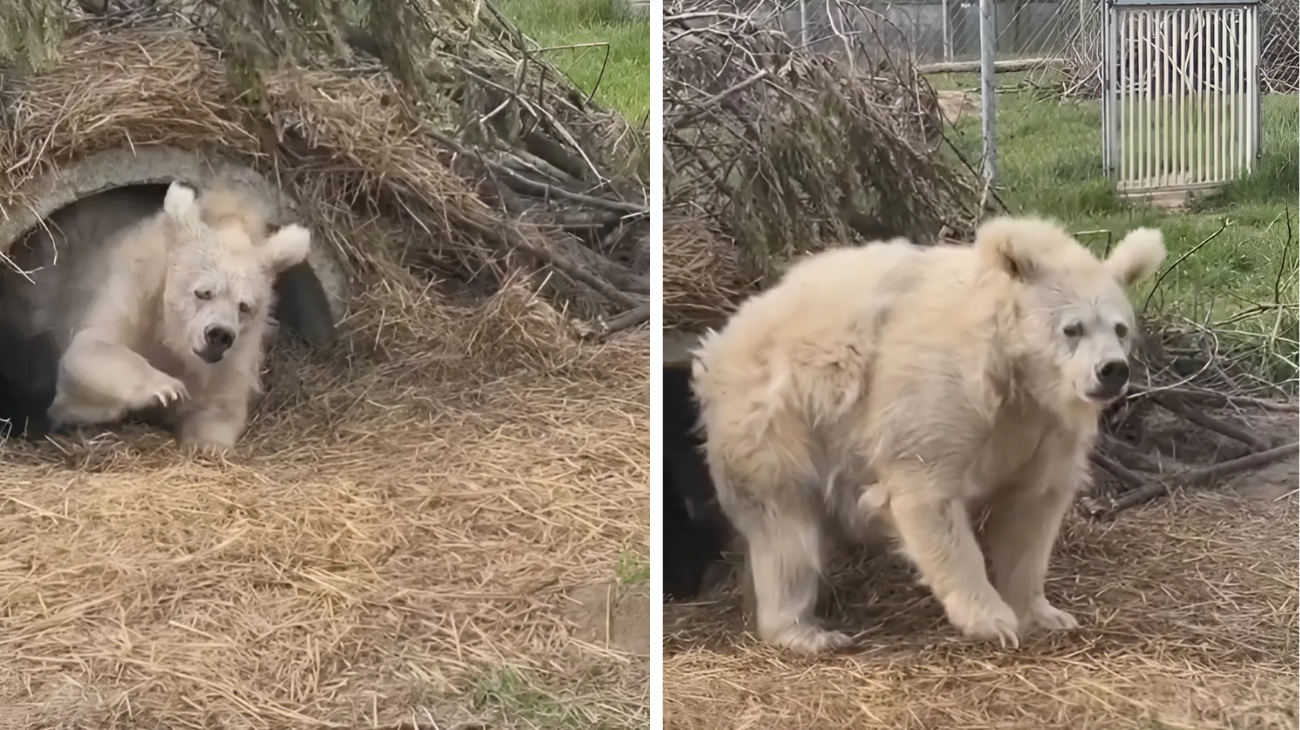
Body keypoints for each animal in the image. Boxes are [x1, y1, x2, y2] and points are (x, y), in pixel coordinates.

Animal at [40, 180, 309, 449]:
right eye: (203, 292)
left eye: (244, 306)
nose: (219, 335)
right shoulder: (133, 291)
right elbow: (88, 349)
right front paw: (167, 388)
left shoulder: (233, 359)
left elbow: (220, 407)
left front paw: (206, 444)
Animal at [691, 215, 1170, 654]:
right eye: (1073, 328)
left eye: (1120, 328)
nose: (1111, 371)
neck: (1012, 372)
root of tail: (723, 340)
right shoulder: (940, 390)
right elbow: (928, 493)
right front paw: (991, 619)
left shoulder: (1043, 426)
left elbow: (1031, 512)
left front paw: (1045, 613)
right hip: (778, 420)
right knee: (786, 533)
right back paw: (806, 632)